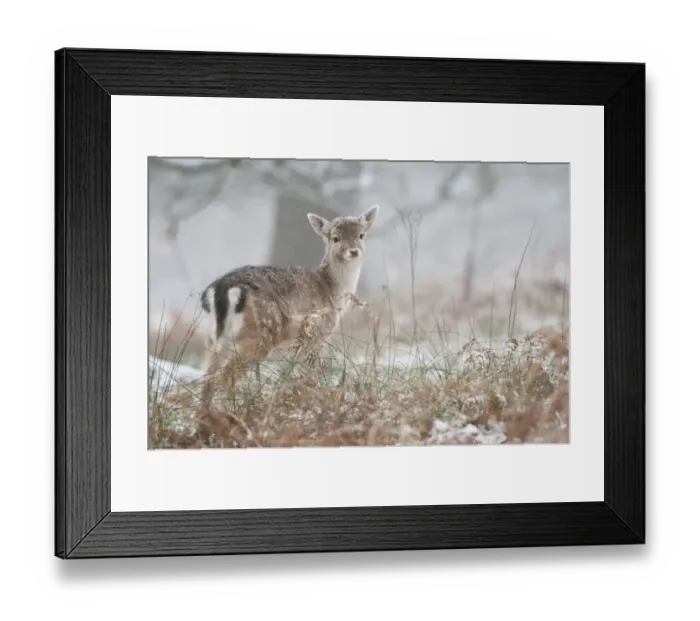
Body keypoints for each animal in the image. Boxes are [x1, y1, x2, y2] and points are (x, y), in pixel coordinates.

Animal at [197, 205, 379, 404]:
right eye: (335, 238)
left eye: (361, 235)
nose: (353, 251)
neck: (331, 291)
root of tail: (221, 290)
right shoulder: (317, 332)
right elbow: (312, 372)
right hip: (260, 333)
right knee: (224, 377)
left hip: (212, 337)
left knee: (207, 380)